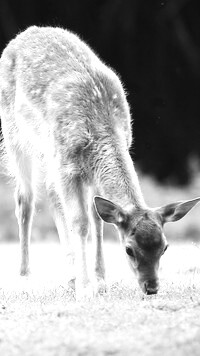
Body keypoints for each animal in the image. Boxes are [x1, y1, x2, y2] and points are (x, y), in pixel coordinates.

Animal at [0, 26, 200, 298]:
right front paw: (86, 289)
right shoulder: (68, 165)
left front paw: (100, 281)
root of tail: (24, 34)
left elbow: (97, 220)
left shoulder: (89, 171)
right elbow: (81, 222)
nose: (151, 288)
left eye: (165, 247)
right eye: (128, 249)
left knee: (51, 193)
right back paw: (25, 276)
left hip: (48, 155)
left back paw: (70, 275)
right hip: (15, 134)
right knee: (25, 198)